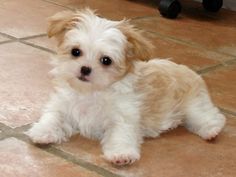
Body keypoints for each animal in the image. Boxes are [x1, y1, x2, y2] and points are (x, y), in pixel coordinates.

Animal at [26, 8, 226, 166]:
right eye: (76, 52)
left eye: (106, 60)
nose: (85, 69)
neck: (92, 92)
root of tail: (188, 70)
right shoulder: (62, 106)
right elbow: (52, 117)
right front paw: (42, 132)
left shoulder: (123, 117)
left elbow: (120, 135)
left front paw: (121, 154)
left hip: (194, 106)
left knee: (210, 117)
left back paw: (211, 131)